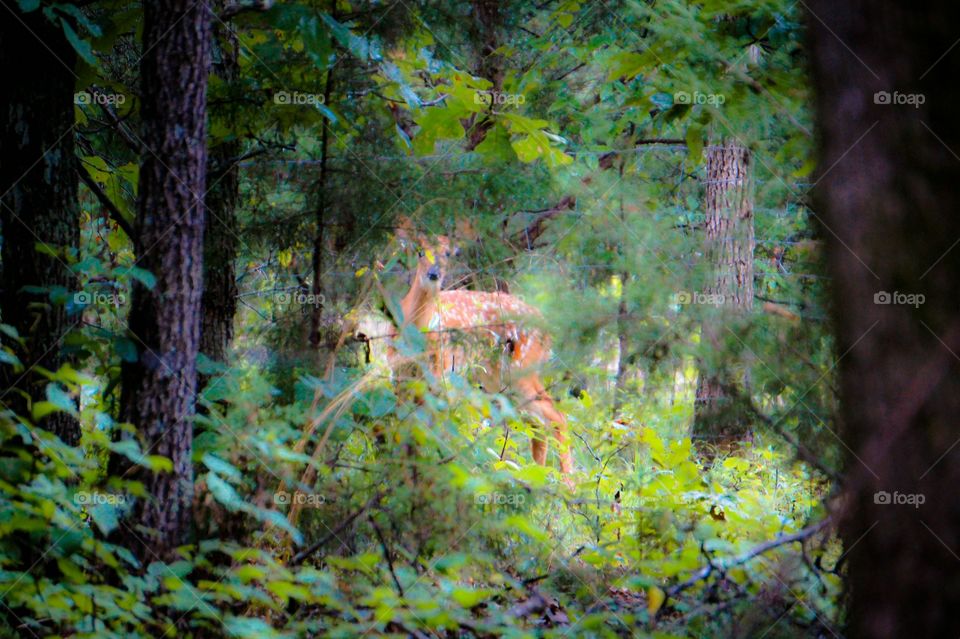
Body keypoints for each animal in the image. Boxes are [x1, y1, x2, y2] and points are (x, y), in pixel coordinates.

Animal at [391, 220, 574, 475]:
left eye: (449, 253)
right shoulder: (397, 374)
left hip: (520, 367)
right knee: (538, 422)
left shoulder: (440, 372)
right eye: (419, 251)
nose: (434, 274)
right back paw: (539, 475)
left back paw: (568, 481)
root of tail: (546, 327)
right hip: (497, 377)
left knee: (556, 416)